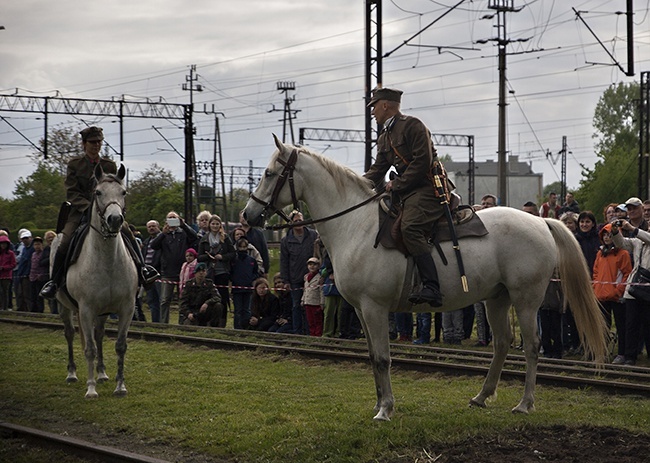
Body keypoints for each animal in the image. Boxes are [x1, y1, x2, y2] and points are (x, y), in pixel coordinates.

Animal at [53, 166, 138, 398]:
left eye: (123, 192)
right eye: (98, 192)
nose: (115, 219)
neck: (108, 261)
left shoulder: (127, 308)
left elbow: (120, 345)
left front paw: (120, 386)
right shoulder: (86, 309)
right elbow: (89, 348)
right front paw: (91, 389)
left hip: (102, 312)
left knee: (99, 335)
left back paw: (101, 373)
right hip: (65, 306)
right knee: (70, 334)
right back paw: (72, 374)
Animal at [243, 136, 608, 422]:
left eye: (269, 173)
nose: (248, 215)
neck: (356, 225)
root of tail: (542, 222)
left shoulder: (374, 308)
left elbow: (383, 358)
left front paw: (385, 409)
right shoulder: (361, 310)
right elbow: (373, 358)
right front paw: (379, 403)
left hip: (526, 299)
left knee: (531, 346)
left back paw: (525, 403)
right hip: (497, 298)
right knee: (503, 343)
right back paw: (481, 396)